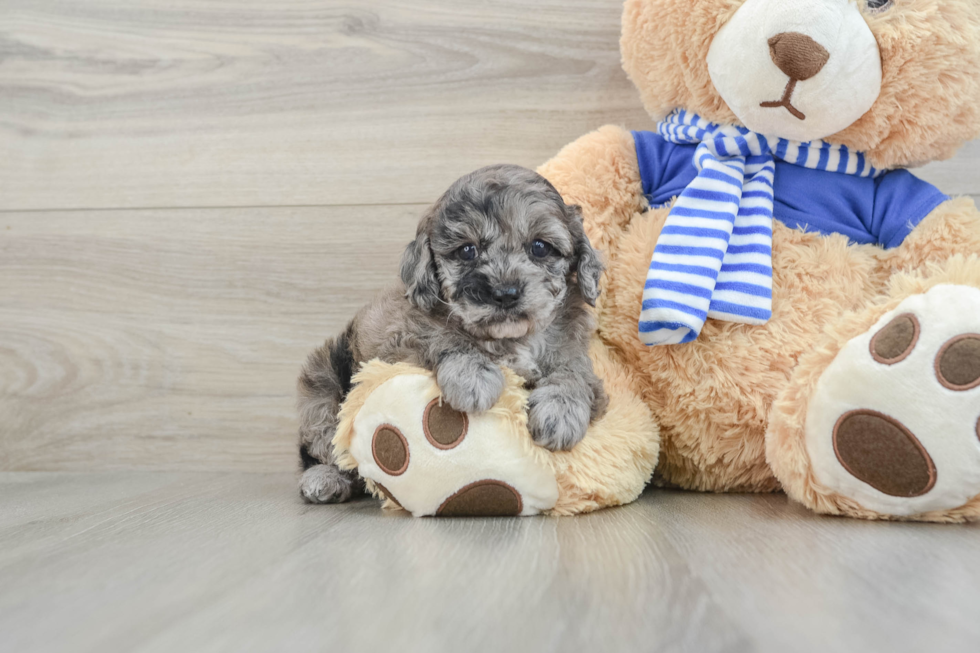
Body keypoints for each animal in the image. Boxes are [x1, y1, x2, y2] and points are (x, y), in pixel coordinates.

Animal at [294, 164, 608, 504]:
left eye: (539, 247)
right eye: (467, 251)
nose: (505, 293)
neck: (509, 339)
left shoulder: (574, 354)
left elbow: (573, 374)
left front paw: (560, 412)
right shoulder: (399, 338)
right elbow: (441, 338)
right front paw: (473, 376)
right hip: (321, 383)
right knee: (325, 444)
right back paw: (325, 479)